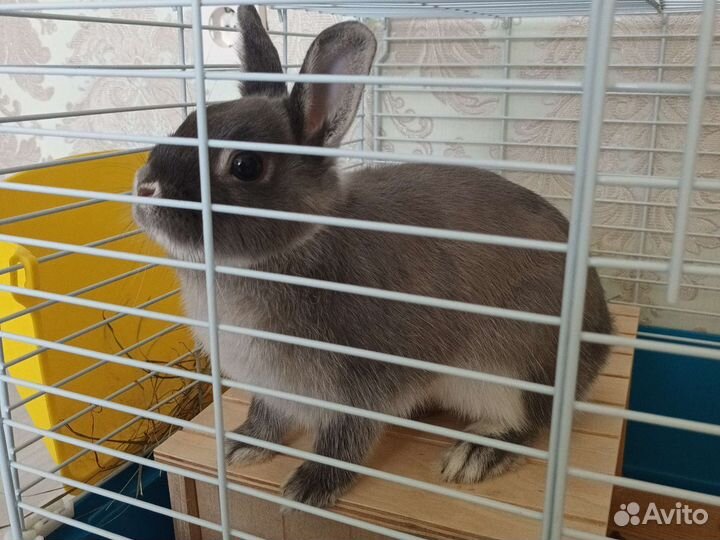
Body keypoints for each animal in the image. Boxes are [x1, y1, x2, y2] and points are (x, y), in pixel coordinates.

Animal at [133, 6, 612, 509]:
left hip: (511, 373)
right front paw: (241, 445)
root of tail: (602, 341)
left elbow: (347, 438)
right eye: (190, 119)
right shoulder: (271, 389)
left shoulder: (365, 382)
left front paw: (310, 486)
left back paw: (475, 453)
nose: (145, 188)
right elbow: (268, 418)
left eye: (245, 165)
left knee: (531, 424)